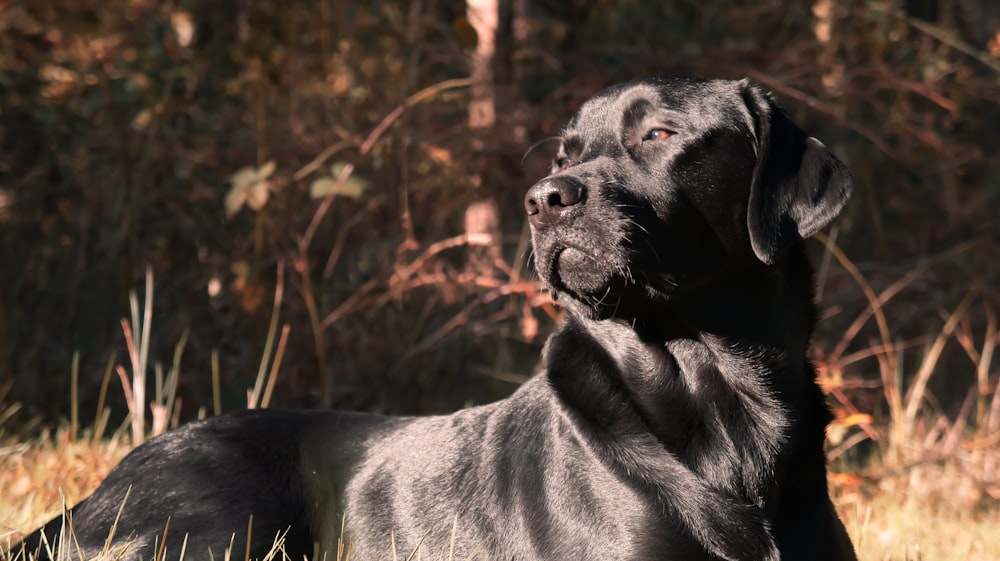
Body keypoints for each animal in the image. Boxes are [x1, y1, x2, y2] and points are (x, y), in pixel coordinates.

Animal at [13, 77, 860, 560]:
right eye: (564, 153)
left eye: (658, 134)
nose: (545, 198)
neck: (721, 395)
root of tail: (89, 498)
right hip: (218, 520)